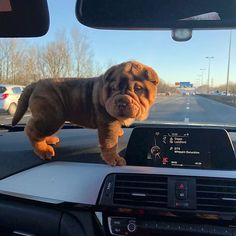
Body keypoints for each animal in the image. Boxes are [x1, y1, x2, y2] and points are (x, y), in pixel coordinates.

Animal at [13, 60, 160, 166]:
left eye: (138, 88)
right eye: (113, 88)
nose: (121, 102)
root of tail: (36, 83)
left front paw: (119, 132)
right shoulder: (108, 123)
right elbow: (110, 142)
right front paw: (114, 159)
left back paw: (49, 139)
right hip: (51, 117)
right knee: (31, 130)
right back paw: (43, 150)